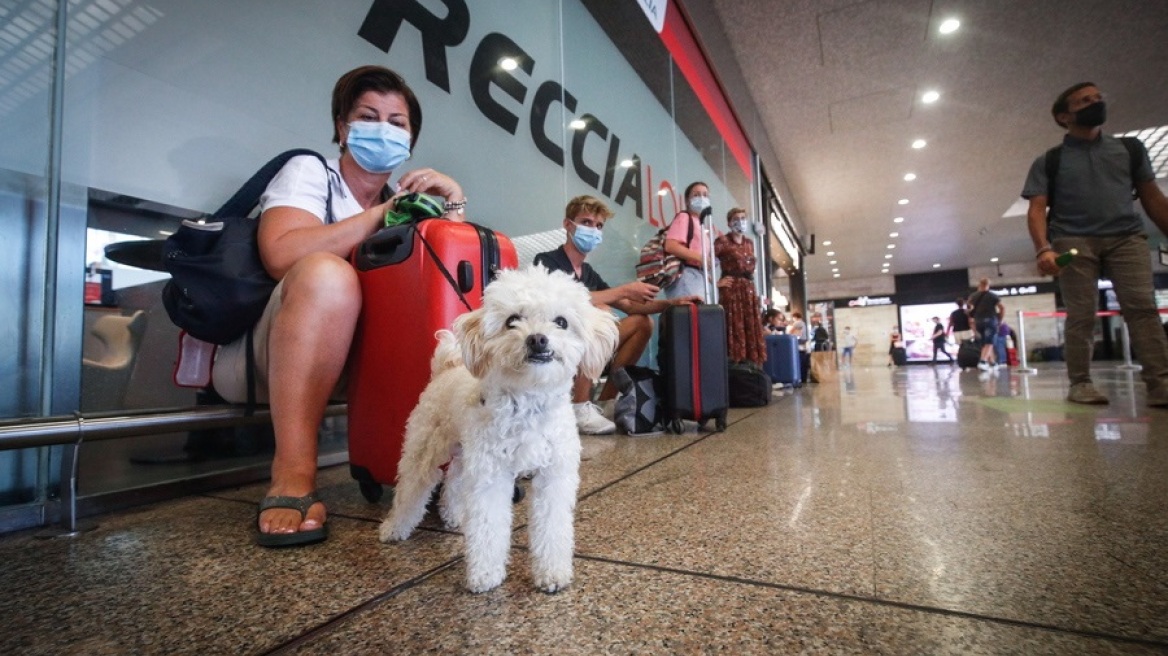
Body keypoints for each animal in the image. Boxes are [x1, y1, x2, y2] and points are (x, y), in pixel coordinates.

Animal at [380, 266, 621, 592]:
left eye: (561, 321)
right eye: (512, 320)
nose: (538, 339)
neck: (528, 399)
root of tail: (446, 367)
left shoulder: (554, 475)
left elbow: (552, 525)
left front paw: (552, 573)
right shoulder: (491, 475)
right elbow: (488, 526)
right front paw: (484, 574)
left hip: (465, 450)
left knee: (454, 479)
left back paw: (454, 515)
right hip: (425, 447)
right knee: (413, 486)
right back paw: (395, 527)